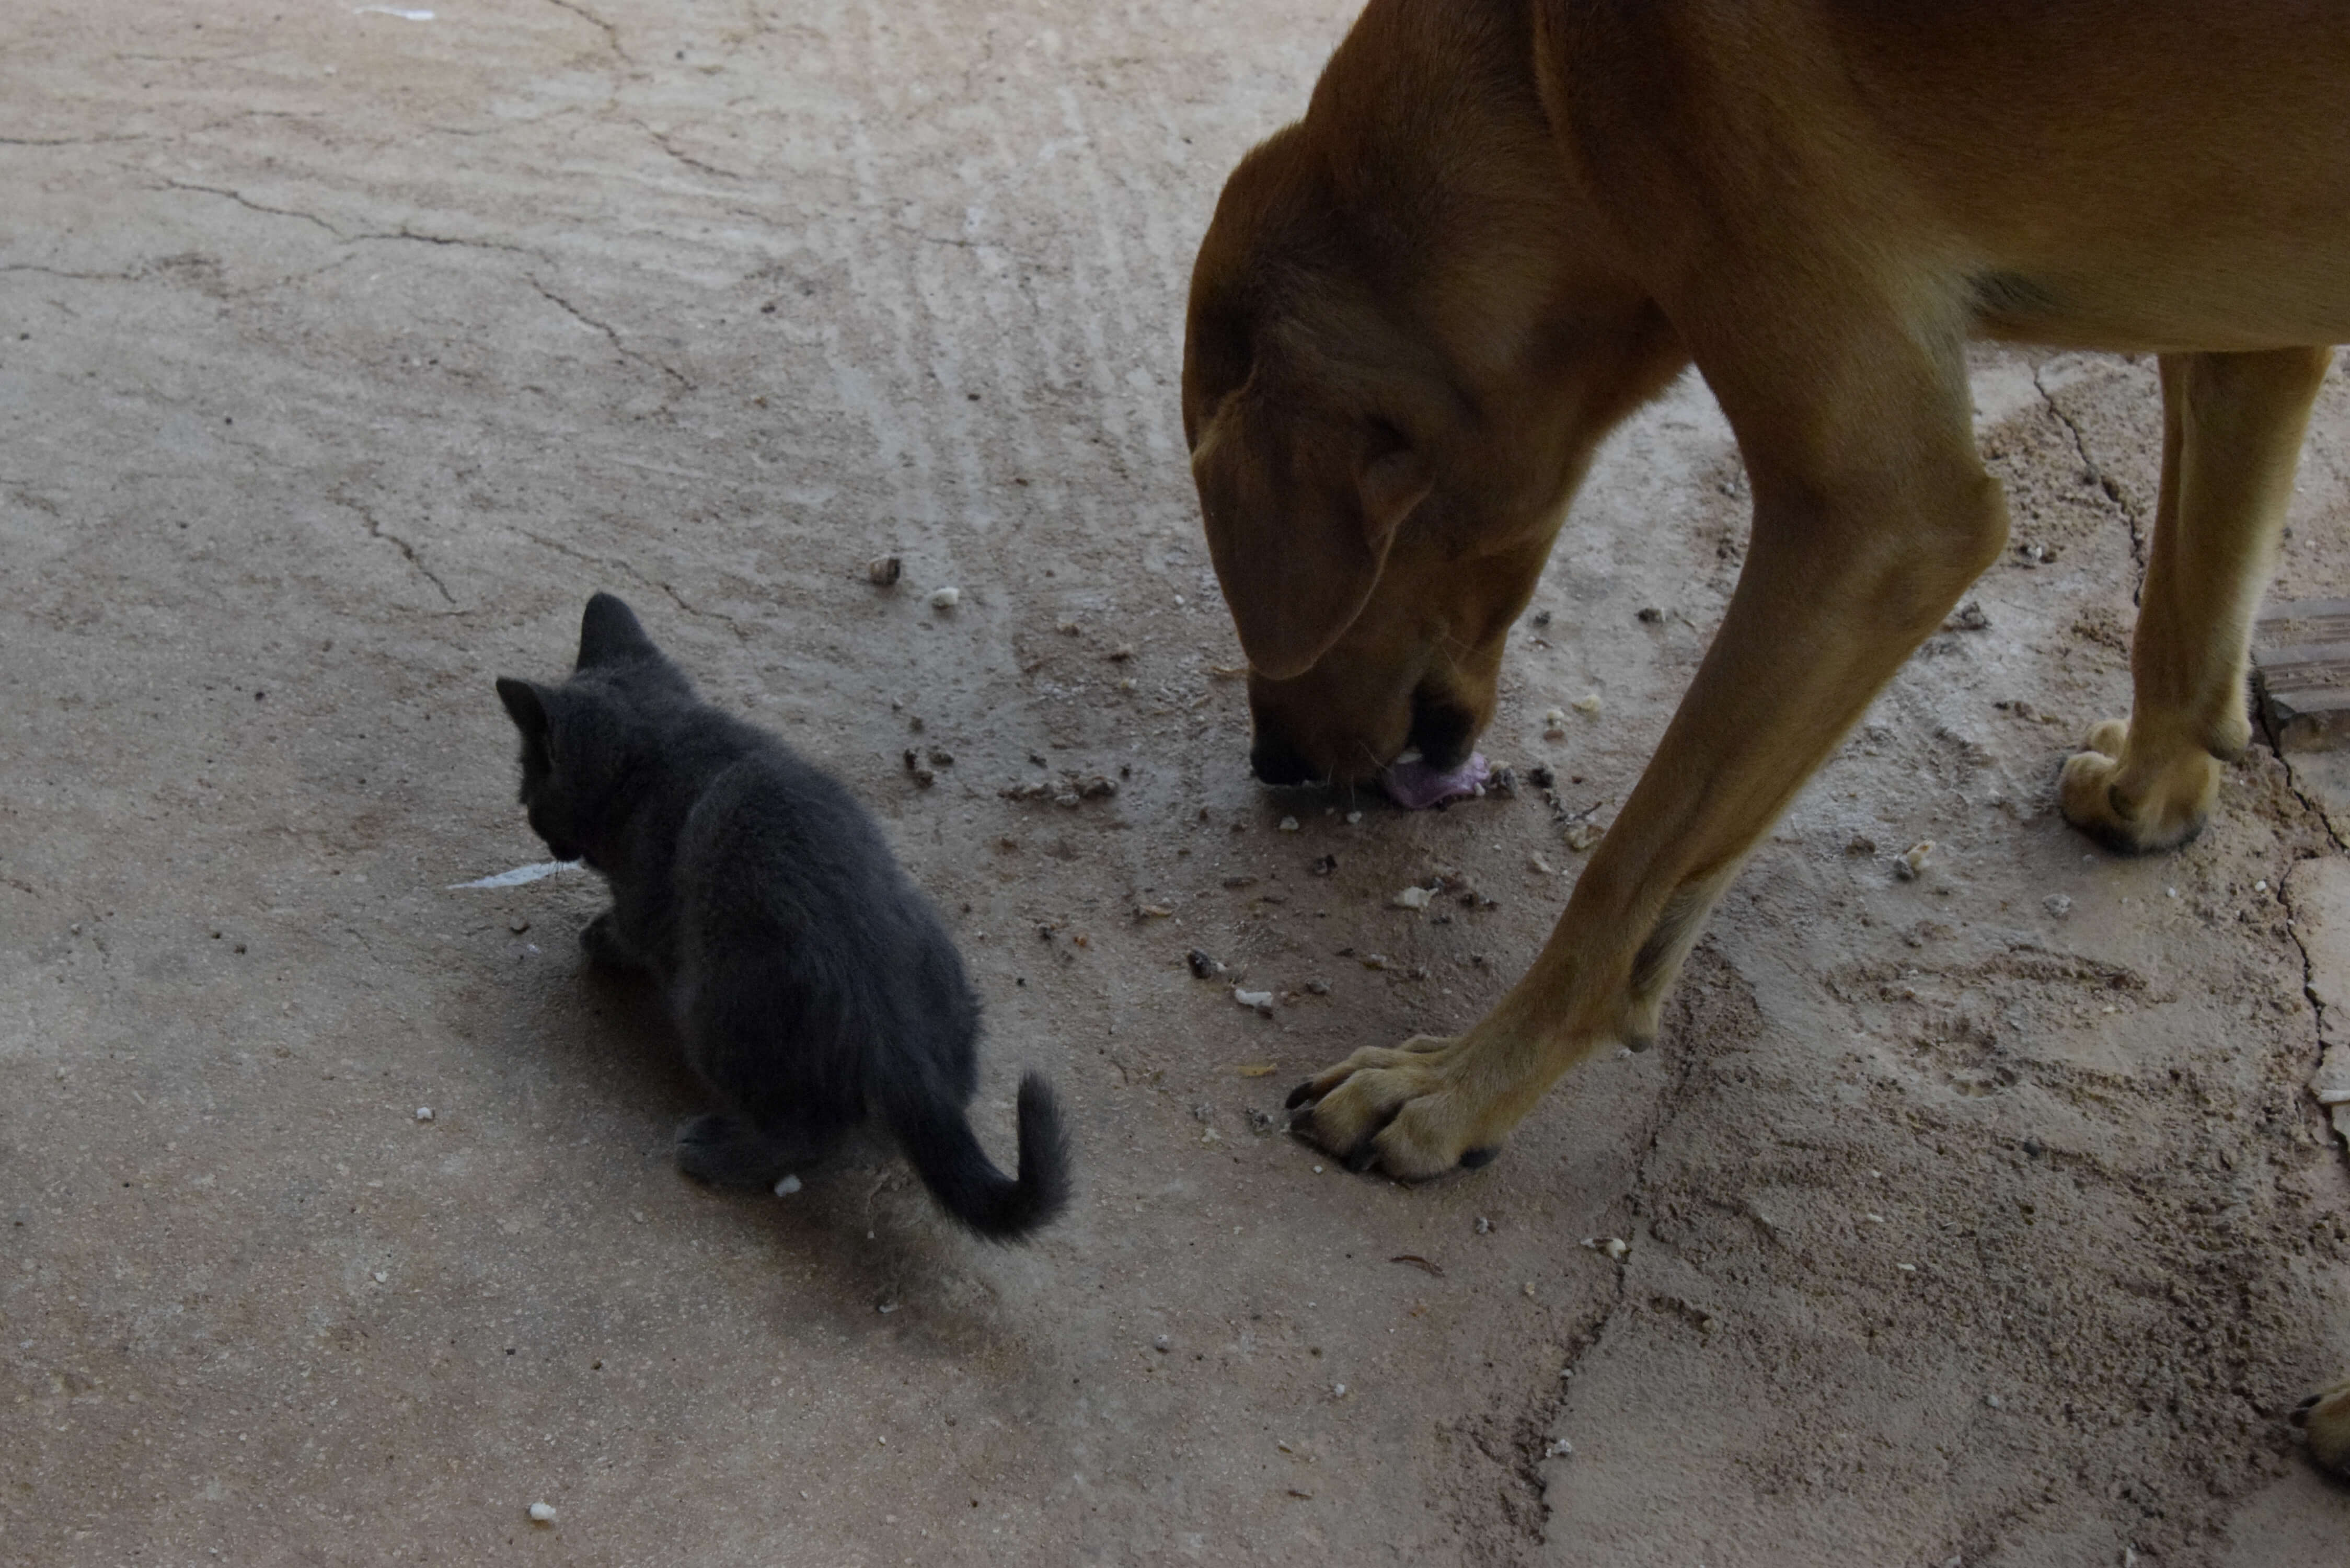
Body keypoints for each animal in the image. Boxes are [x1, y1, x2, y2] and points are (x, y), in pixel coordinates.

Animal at [505, 594, 1076, 1241]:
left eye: (530, 782)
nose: (528, 812)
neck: (665, 743)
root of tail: (899, 1042)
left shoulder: (647, 897)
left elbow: (631, 928)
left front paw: (601, 938)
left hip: (713, 1006)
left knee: (805, 1133)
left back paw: (716, 1151)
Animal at [1184, 0, 2350, 1476]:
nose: (1272, 762)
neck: (1539, 71)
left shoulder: (1877, 521)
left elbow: (1624, 878)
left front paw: (1454, 1086)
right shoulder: (2249, 326)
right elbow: (2186, 620)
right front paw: (2159, 783)